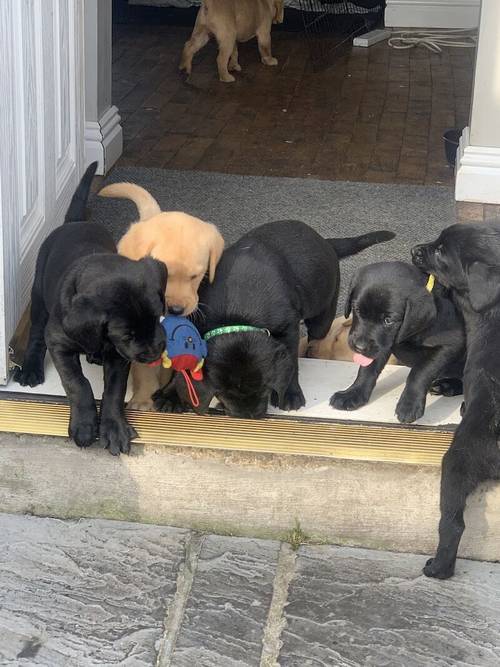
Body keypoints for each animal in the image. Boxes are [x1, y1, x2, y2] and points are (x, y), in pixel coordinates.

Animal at [14, 163, 167, 454]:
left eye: (157, 318)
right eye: (127, 334)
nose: (156, 351)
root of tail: (74, 222)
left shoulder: (119, 356)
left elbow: (114, 390)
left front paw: (114, 429)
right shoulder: (60, 344)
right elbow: (78, 383)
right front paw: (84, 426)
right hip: (38, 294)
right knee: (36, 333)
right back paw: (31, 369)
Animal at [154, 219, 392, 418]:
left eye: (265, 387)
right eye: (222, 392)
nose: (249, 416)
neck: (237, 314)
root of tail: (325, 241)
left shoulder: (288, 327)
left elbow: (292, 362)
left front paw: (290, 394)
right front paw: (170, 394)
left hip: (323, 313)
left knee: (316, 335)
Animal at [332, 260, 464, 422]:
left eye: (388, 320)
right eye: (357, 310)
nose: (359, 347)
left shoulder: (450, 344)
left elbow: (420, 372)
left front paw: (409, 405)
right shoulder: (381, 345)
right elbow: (367, 369)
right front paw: (353, 393)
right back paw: (447, 385)